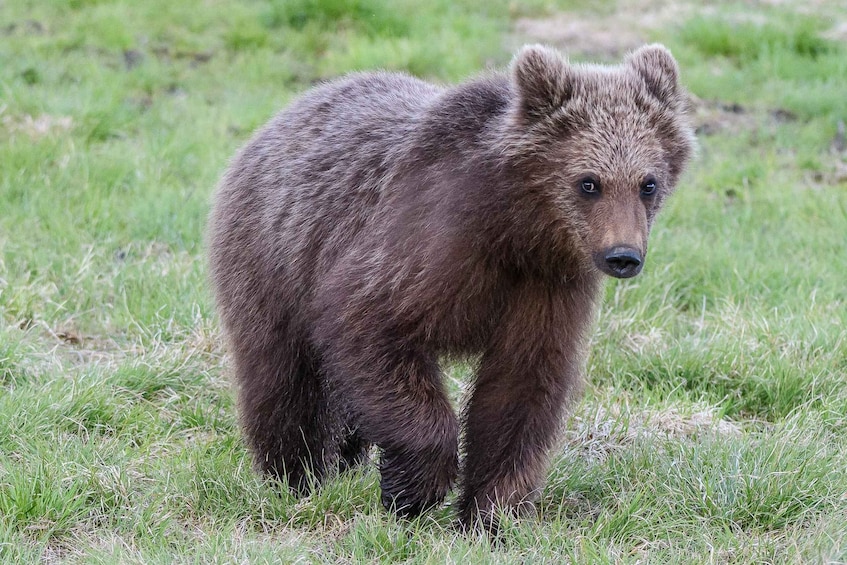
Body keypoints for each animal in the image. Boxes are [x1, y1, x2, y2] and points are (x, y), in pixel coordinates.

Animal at [207, 43, 694, 528]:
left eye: (648, 183)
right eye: (588, 183)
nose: (623, 256)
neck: (515, 229)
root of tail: (283, 116)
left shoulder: (547, 288)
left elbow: (519, 390)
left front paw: (491, 513)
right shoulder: (424, 247)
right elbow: (366, 324)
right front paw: (413, 489)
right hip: (274, 259)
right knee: (282, 380)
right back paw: (294, 477)